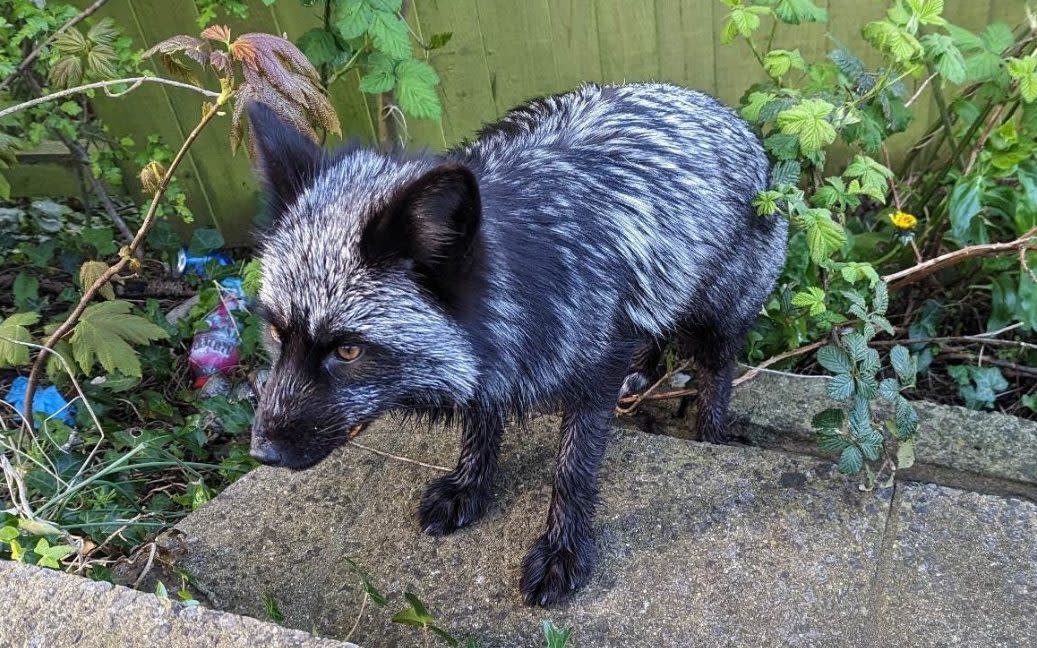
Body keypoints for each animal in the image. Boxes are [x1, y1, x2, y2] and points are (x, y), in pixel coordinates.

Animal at [248, 83, 783, 605]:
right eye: (276, 332)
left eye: (348, 351)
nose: (261, 454)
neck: (530, 266)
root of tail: (728, 115)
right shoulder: (497, 351)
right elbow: (481, 422)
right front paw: (469, 486)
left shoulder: (595, 368)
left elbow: (573, 469)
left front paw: (563, 550)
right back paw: (645, 370)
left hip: (719, 312)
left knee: (718, 368)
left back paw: (709, 435)